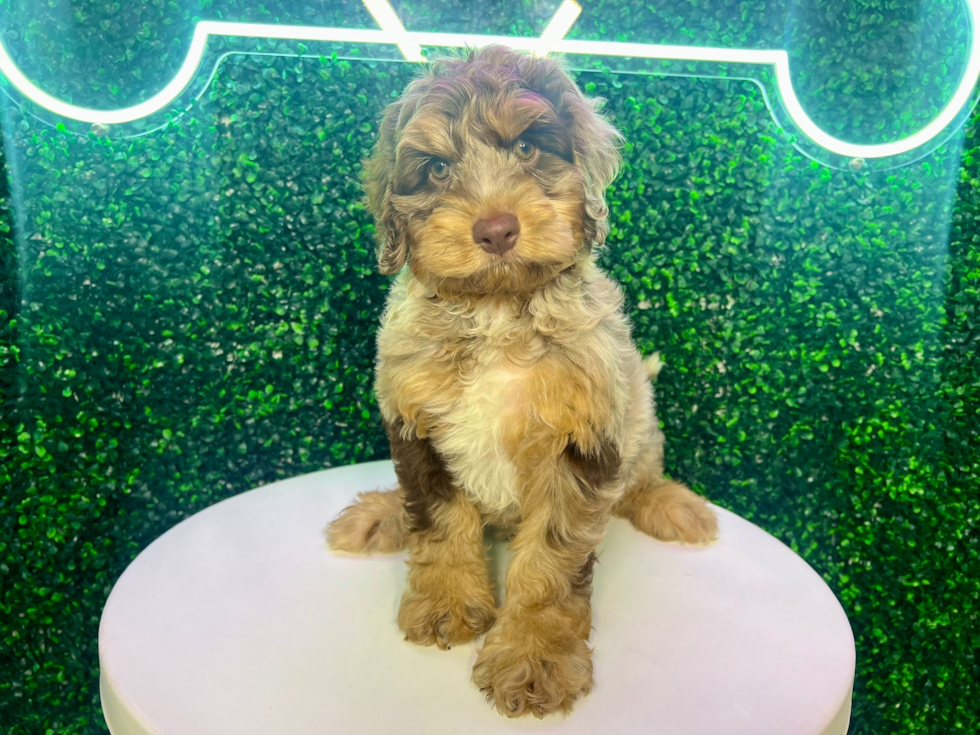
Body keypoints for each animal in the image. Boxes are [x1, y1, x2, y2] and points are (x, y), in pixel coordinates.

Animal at [326, 44, 716, 720]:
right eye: (435, 169)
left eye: (529, 148)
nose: (496, 229)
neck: (497, 310)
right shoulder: (414, 422)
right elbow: (438, 519)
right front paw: (446, 603)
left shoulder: (585, 437)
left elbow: (549, 564)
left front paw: (535, 656)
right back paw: (380, 515)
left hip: (639, 415)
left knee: (641, 473)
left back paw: (673, 505)